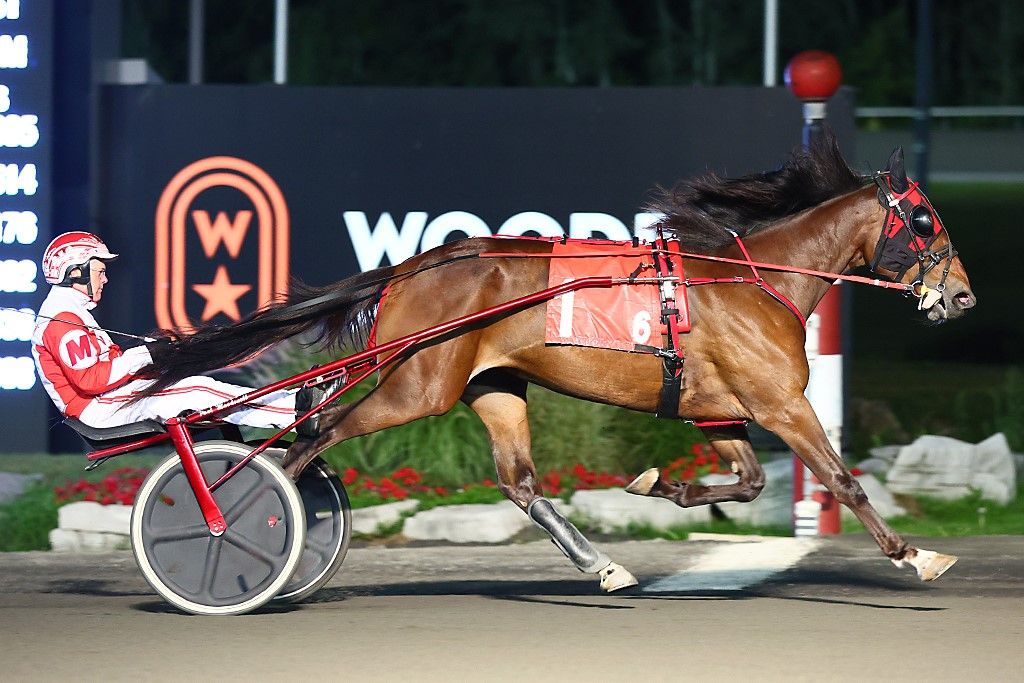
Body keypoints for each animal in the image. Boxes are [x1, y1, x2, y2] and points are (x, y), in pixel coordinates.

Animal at [138, 137, 974, 593]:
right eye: (924, 217)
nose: (962, 294)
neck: (750, 279)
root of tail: (413, 265)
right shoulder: (780, 403)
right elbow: (841, 479)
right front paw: (915, 554)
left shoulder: (721, 407)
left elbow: (748, 481)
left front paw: (658, 483)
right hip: (416, 381)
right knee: (313, 437)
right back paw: (247, 531)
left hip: (492, 385)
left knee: (519, 482)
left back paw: (603, 564)